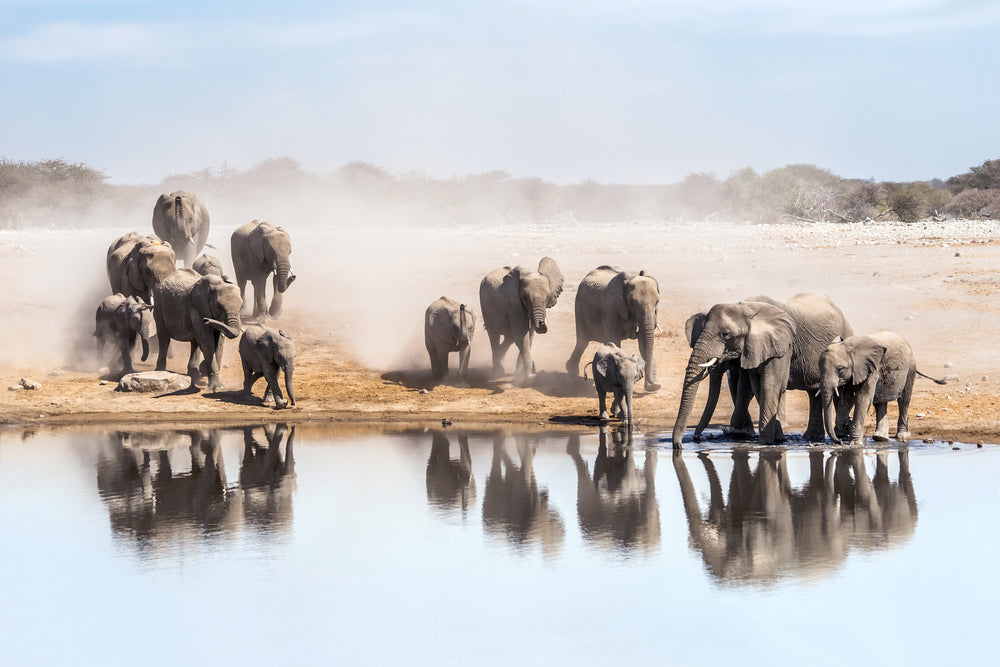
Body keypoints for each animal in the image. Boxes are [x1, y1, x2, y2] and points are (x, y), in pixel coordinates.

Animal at [673, 293, 853, 447]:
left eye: (726, 334)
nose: (696, 438)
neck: (746, 309)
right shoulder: (753, 348)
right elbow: (755, 386)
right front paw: (777, 438)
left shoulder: (782, 344)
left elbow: (769, 385)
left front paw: (764, 441)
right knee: (813, 392)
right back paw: (812, 438)